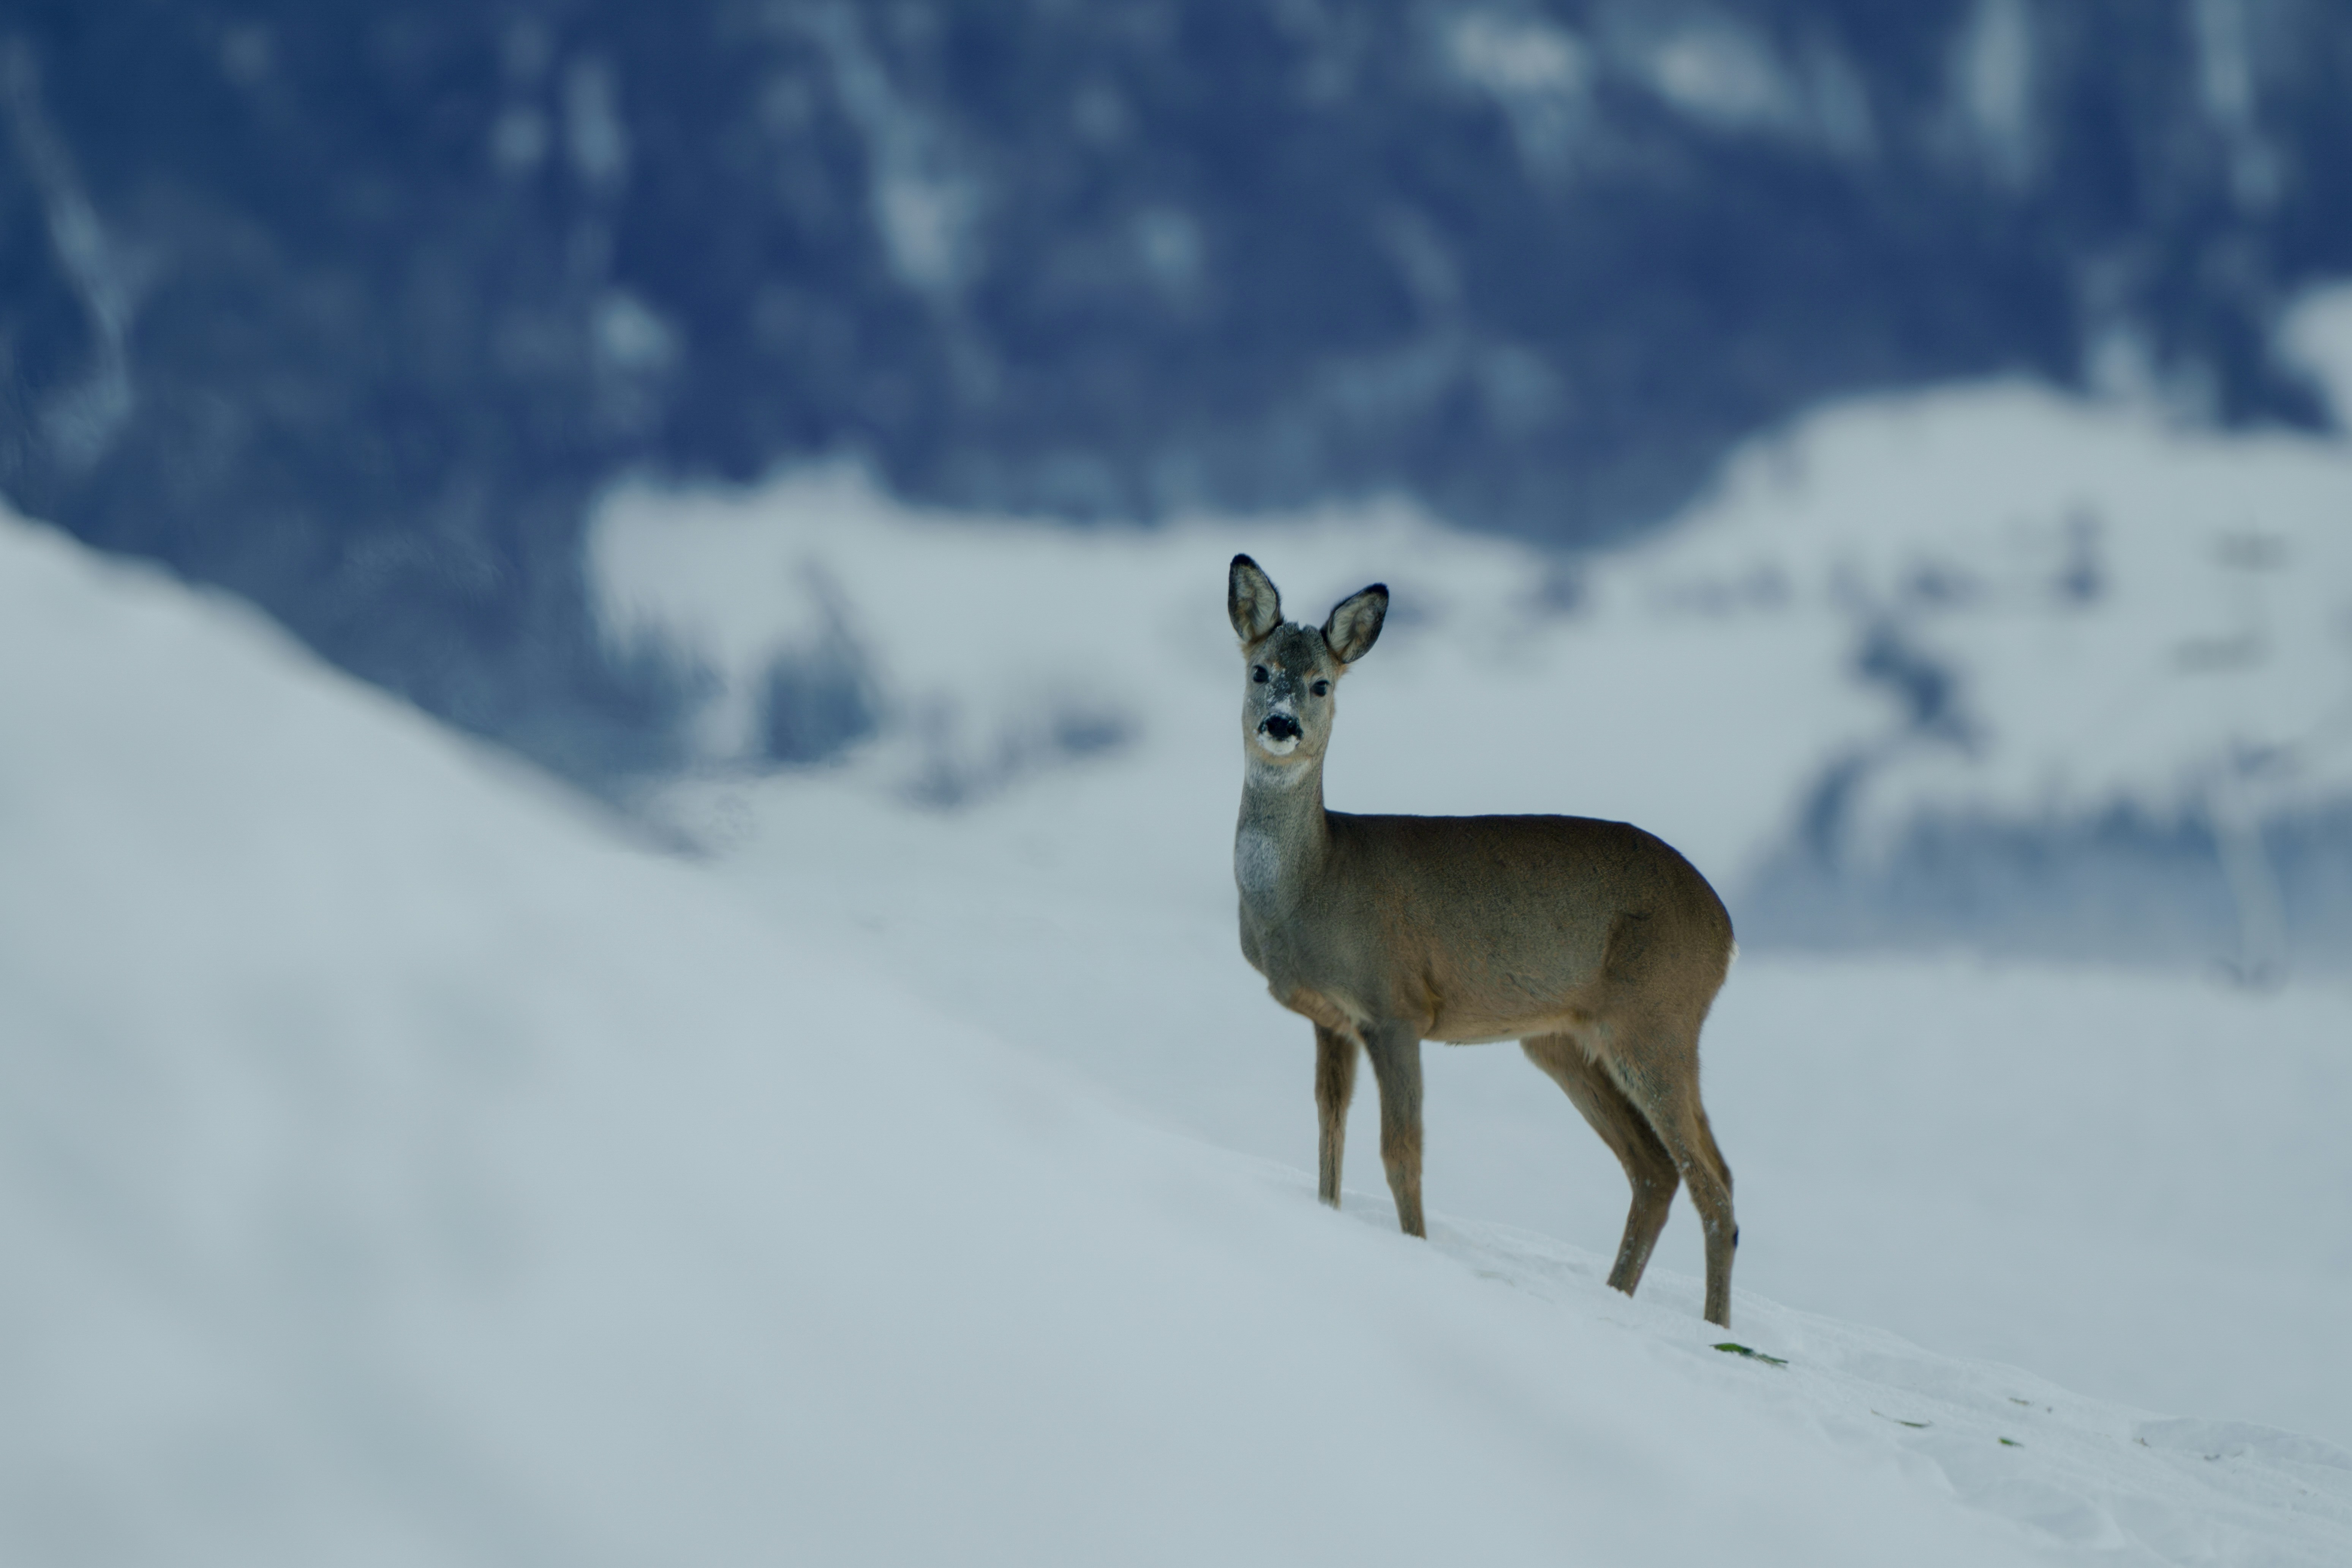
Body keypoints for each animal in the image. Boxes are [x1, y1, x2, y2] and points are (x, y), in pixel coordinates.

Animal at [1227, 554, 1742, 1326]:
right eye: (1260, 669)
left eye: (1322, 682)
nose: (1281, 725)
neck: (1313, 883)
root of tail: (1726, 927)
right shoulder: (1332, 1020)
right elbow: (1329, 1134)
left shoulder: (1396, 1006)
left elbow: (1401, 1151)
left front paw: (1415, 1251)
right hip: (1563, 1039)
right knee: (1654, 1170)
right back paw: (1619, 1301)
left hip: (1656, 1020)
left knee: (1712, 1179)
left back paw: (1713, 1330)